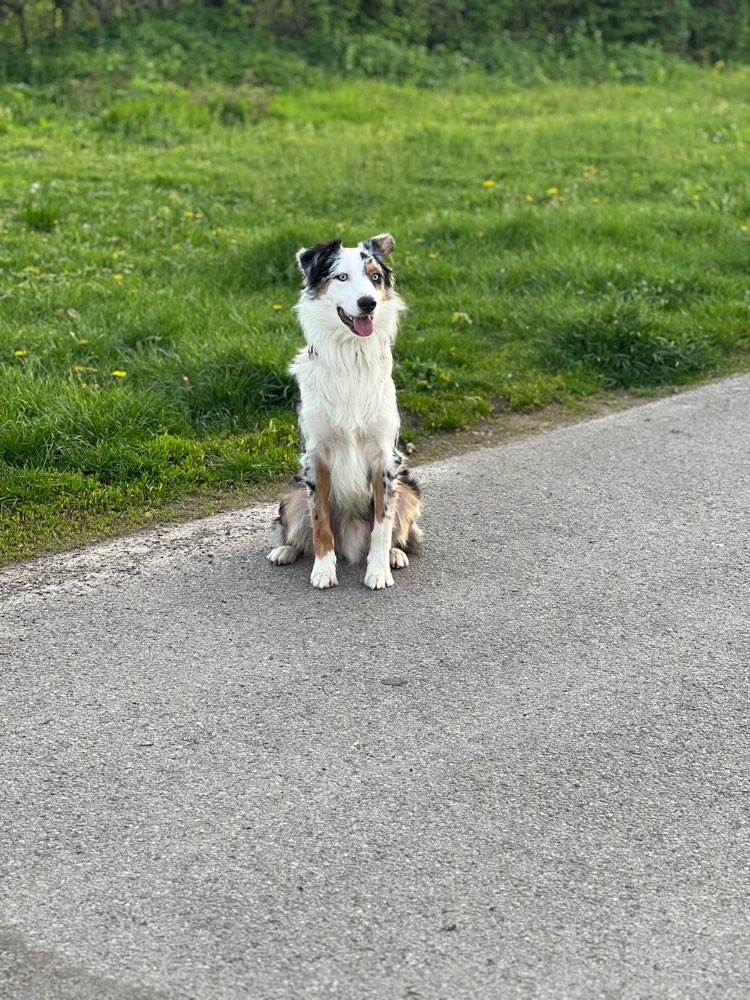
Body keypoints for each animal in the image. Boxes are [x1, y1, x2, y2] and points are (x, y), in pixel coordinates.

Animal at [268, 232, 424, 584]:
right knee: (295, 529)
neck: (351, 356)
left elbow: (382, 525)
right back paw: (285, 551)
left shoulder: (386, 458)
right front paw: (324, 570)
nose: (368, 303)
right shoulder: (316, 457)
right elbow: (320, 521)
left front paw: (378, 571)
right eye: (341, 277)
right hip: (292, 492)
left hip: (408, 488)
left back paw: (394, 555)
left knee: (399, 531)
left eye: (375, 277)